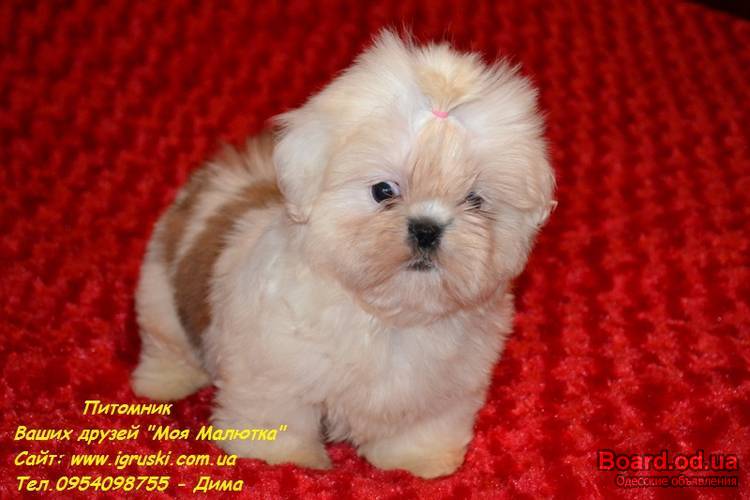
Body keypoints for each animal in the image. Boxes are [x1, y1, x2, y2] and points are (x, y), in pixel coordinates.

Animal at [132, 30, 555, 478]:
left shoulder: (444, 389)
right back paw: (163, 381)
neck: (388, 316)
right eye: (383, 191)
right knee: (165, 341)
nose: (426, 228)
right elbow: (277, 415)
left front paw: (418, 461)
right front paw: (280, 459)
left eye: (475, 200)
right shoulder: (271, 372)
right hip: (159, 291)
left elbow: (423, 425)